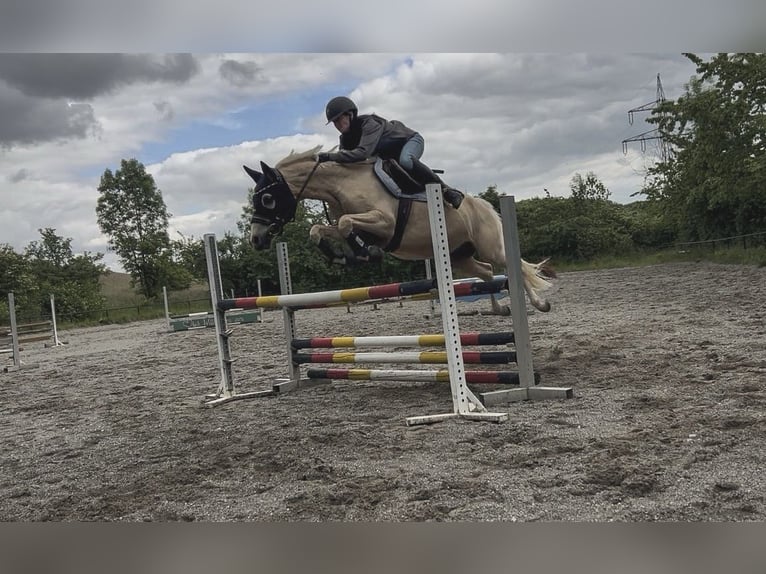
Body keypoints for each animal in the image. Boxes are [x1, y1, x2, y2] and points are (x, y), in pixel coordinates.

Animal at [244, 145, 555, 313]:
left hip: (490, 246)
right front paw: (343, 256)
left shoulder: (385, 221)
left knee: (514, 267)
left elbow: (346, 225)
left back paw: (540, 304)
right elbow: (320, 230)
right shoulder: (355, 224)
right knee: (488, 273)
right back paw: (500, 309)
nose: (256, 240)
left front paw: (366, 253)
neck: (343, 185)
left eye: (267, 199)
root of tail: (484, 205)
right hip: (459, 256)